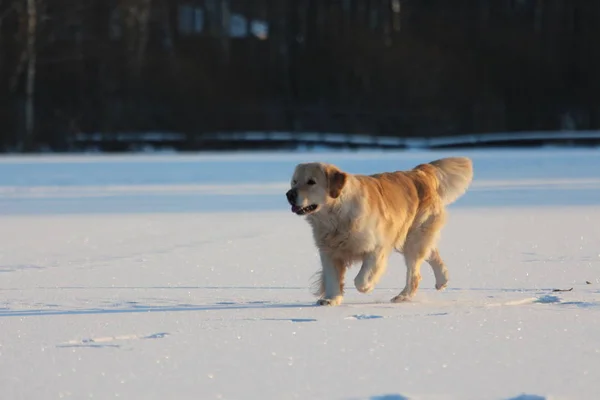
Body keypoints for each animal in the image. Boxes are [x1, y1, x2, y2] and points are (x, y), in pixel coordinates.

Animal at [286, 157, 474, 306]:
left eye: (311, 182)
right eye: (294, 182)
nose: (289, 194)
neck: (337, 217)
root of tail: (420, 171)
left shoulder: (378, 247)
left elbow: (360, 279)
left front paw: (367, 286)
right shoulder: (329, 252)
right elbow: (332, 278)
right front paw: (331, 299)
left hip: (413, 239)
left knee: (415, 274)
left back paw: (402, 297)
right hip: (408, 238)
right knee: (432, 252)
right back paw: (442, 280)